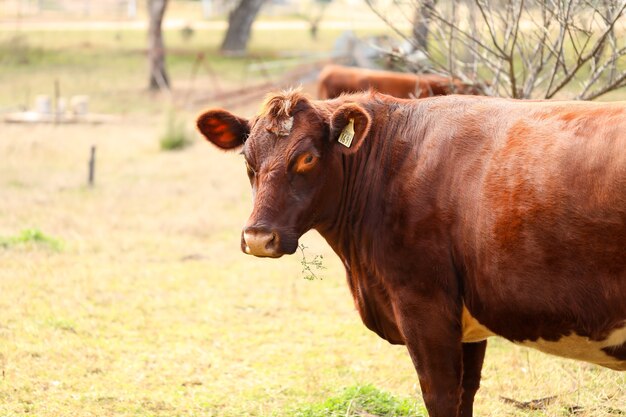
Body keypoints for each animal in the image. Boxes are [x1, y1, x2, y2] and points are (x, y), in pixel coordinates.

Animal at [199, 90, 624, 416]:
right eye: (247, 158)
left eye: (307, 157)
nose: (258, 237)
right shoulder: (465, 322)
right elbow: (466, 394)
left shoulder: (423, 304)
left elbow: (441, 396)